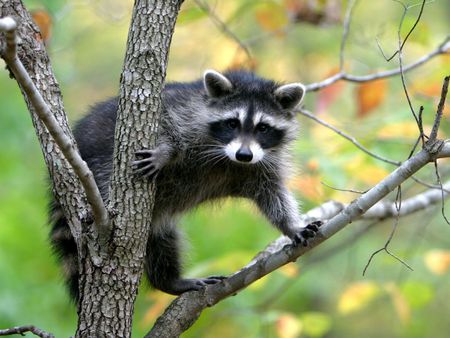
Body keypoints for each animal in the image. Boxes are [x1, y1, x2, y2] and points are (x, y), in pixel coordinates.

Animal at [50, 69, 320, 302]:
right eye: (232, 123)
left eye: (263, 128)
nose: (244, 155)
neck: (228, 158)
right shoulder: (184, 111)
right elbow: (166, 123)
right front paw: (165, 151)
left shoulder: (262, 165)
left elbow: (273, 195)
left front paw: (291, 226)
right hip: (101, 166)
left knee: (161, 240)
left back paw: (168, 280)